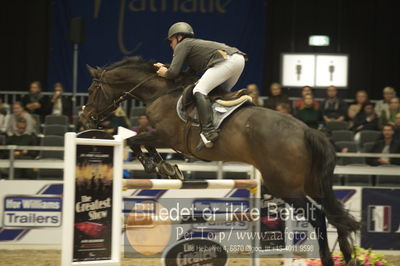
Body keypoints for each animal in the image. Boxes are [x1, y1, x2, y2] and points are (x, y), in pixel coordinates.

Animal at [80, 56, 360, 264]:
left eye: (93, 90)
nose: (84, 119)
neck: (161, 92)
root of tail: (307, 131)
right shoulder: (161, 136)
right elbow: (142, 143)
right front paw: (168, 168)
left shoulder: (166, 135)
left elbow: (134, 141)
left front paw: (158, 166)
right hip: (311, 183)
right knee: (334, 212)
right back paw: (348, 255)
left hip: (286, 187)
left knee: (320, 216)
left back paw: (329, 259)